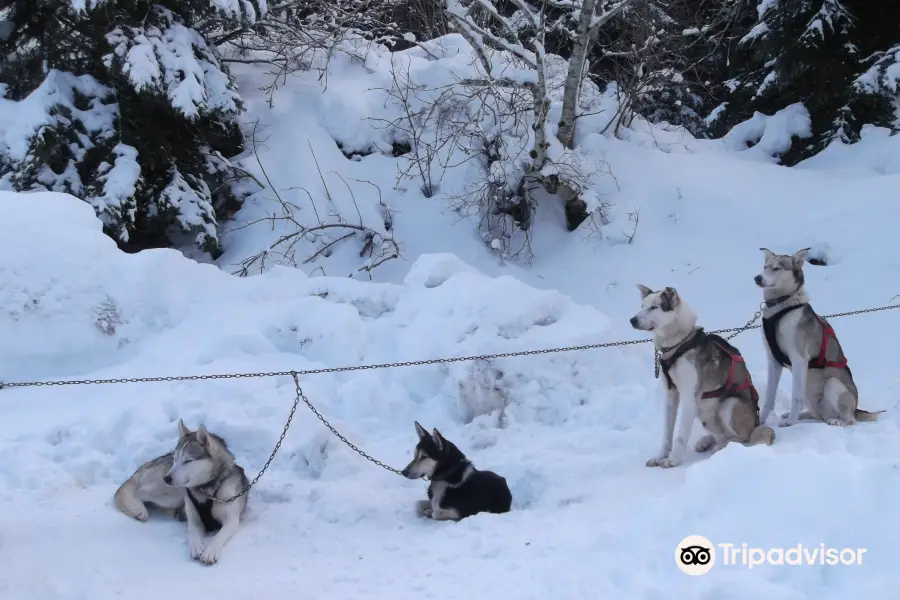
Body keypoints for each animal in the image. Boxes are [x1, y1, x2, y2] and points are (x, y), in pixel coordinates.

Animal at [115, 420, 253, 564]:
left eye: (188, 460)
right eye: (175, 459)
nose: (166, 478)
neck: (206, 490)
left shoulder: (231, 520)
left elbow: (219, 536)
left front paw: (211, 551)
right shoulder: (194, 516)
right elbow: (193, 531)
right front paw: (196, 547)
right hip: (173, 493)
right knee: (134, 491)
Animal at [632, 286, 772, 468]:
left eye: (654, 307)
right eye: (642, 306)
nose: (632, 320)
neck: (679, 343)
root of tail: (756, 423)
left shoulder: (688, 396)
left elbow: (680, 435)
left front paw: (673, 459)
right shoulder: (671, 396)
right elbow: (667, 435)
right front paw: (660, 456)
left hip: (728, 405)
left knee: (738, 438)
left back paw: (721, 448)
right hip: (702, 411)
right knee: (720, 436)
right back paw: (707, 442)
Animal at [756, 247, 884, 426]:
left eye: (777, 268)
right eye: (765, 267)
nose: (757, 278)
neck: (781, 307)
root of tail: (856, 409)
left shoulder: (799, 359)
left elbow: (795, 398)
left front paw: (790, 423)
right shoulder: (773, 360)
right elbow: (769, 396)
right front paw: (761, 420)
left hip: (832, 384)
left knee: (850, 420)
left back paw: (836, 421)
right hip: (810, 395)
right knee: (815, 414)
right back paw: (799, 415)